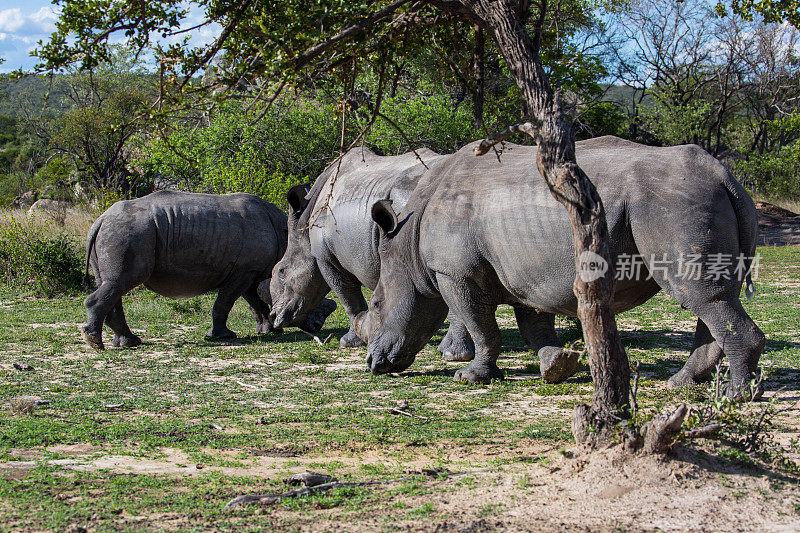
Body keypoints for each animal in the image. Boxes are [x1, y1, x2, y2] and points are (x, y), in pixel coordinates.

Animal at [83, 190, 338, 350]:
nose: (316, 326)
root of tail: (100, 219)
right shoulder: (244, 271)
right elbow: (225, 303)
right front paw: (224, 336)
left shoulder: (251, 271)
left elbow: (255, 302)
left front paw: (268, 331)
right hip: (129, 232)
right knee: (121, 282)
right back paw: (97, 343)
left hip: (118, 231)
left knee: (112, 284)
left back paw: (128, 342)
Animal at [354, 137, 764, 394]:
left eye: (377, 304)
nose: (373, 363)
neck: (407, 244)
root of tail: (723, 175)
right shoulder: (523, 272)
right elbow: (534, 326)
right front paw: (557, 364)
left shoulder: (455, 273)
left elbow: (480, 325)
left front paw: (470, 377)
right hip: (688, 198)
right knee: (713, 298)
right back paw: (681, 383)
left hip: (672, 203)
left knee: (701, 297)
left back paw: (734, 395)